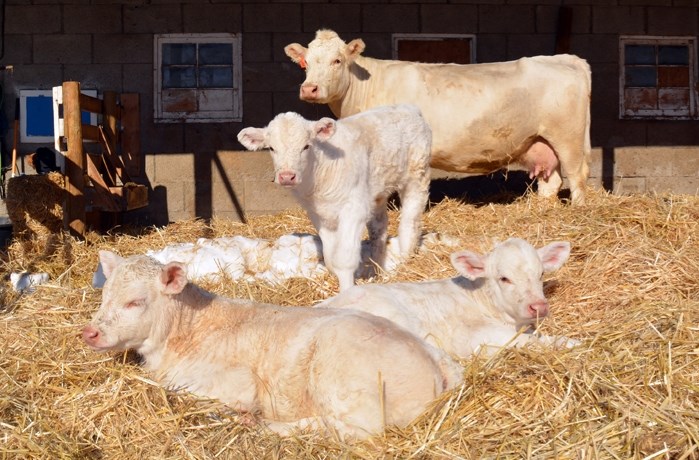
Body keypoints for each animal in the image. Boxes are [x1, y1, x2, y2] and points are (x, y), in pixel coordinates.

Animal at [83, 253, 464, 440]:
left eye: (135, 302)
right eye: (105, 295)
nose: (90, 332)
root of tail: (437, 361)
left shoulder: (235, 385)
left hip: (347, 385)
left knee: (355, 430)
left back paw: (263, 425)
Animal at [238, 104, 432, 292]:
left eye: (306, 146)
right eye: (272, 148)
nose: (287, 176)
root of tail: (409, 108)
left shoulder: (354, 209)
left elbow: (343, 259)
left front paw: (346, 292)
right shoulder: (319, 214)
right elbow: (330, 258)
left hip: (417, 175)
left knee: (410, 222)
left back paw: (404, 262)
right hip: (377, 191)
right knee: (379, 228)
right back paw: (377, 271)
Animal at [284, 30, 592, 205]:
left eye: (337, 60)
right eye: (305, 63)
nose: (309, 88)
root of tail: (567, 59)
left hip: (568, 138)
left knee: (577, 176)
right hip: (541, 142)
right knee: (551, 181)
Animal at [318, 239, 580, 358]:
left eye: (541, 274)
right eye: (504, 278)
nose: (539, 306)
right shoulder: (481, 337)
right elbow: (533, 342)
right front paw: (575, 343)